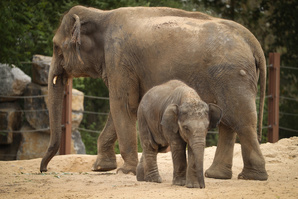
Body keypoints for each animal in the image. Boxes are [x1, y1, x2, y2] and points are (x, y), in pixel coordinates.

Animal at [40, 5, 268, 180]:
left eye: (56, 47)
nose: (44, 170)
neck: (101, 14)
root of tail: (252, 41)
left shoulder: (119, 58)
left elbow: (123, 106)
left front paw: (124, 171)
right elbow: (119, 108)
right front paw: (101, 167)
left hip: (232, 76)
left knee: (242, 121)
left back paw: (251, 177)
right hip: (228, 77)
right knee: (227, 122)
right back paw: (217, 175)